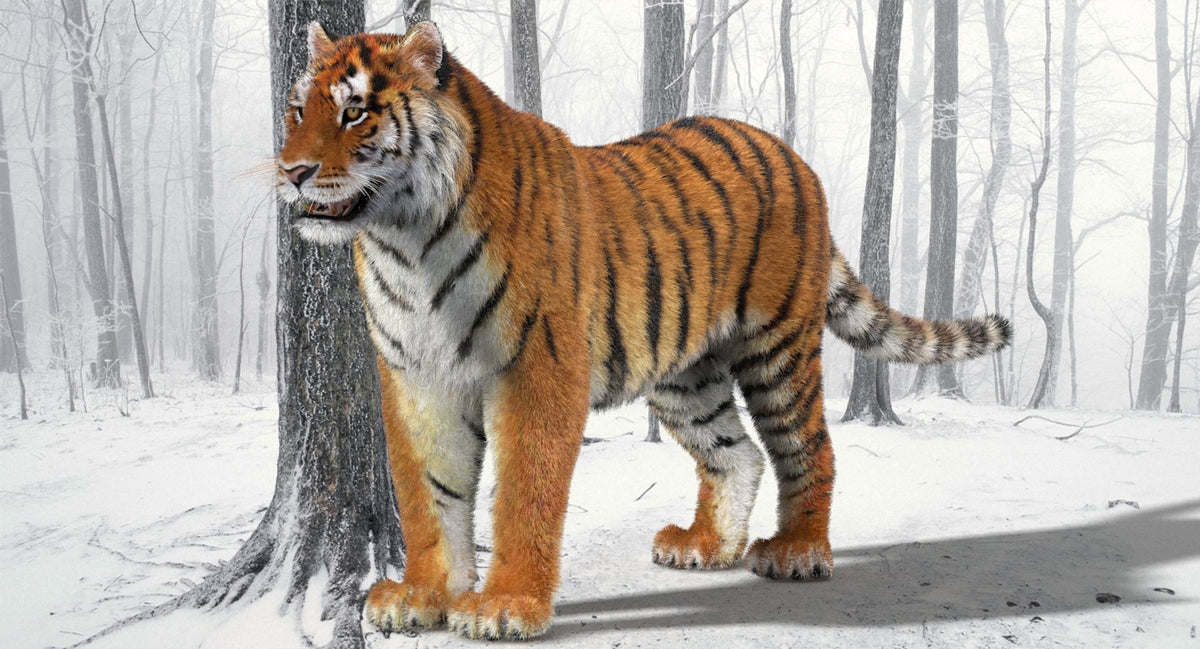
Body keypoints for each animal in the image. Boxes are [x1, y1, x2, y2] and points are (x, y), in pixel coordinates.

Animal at [276, 21, 1011, 641]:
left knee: (808, 447)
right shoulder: (418, 376)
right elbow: (427, 493)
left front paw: (505, 605)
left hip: (777, 349)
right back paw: (705, 547)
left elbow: (522, 491)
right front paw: (421, 595)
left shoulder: (538, 369)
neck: (405, 241)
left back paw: (798, 550)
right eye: (296, 111)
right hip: (685, 376)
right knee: (735, 453)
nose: (291, 172)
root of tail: (794, 156)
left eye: (354, 111)